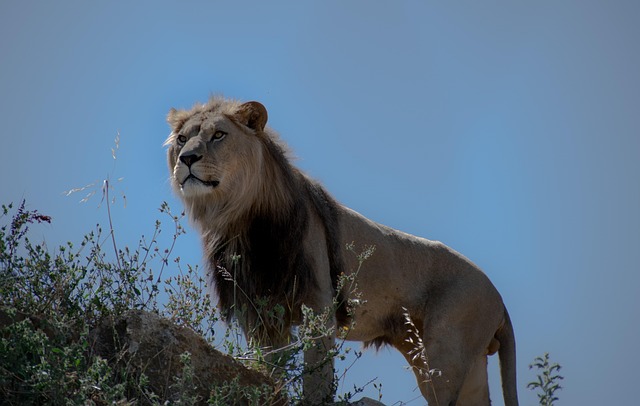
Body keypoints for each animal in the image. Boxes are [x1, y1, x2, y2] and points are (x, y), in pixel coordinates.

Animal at [165, 96, 519, 406]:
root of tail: (499, 298)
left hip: (445, 352)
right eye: (182, 139)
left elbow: (316, 376)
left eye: (219, 135)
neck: (237, 218)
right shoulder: (260, 314)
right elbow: (270, 369)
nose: (187, 159)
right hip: (458, 363)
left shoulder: (318, 308)